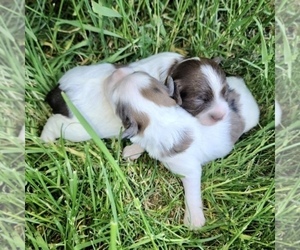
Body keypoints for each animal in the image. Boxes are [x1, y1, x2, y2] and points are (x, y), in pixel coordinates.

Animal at [105, 67, 234, 229]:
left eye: (114, 94)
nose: (118, 71)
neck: (159, 117)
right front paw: (132, 151)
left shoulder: (189, 168)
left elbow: (192, 189)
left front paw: (194, 219)